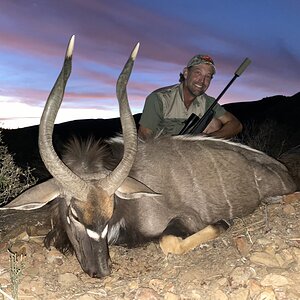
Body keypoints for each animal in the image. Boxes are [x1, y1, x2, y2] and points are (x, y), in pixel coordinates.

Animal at [2, 36, 296, 278]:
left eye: (111, 212)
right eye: (74, 214)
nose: (101, 271)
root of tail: (282, 171)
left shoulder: (186, 218)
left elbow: (169, 241)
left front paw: (223, 222)